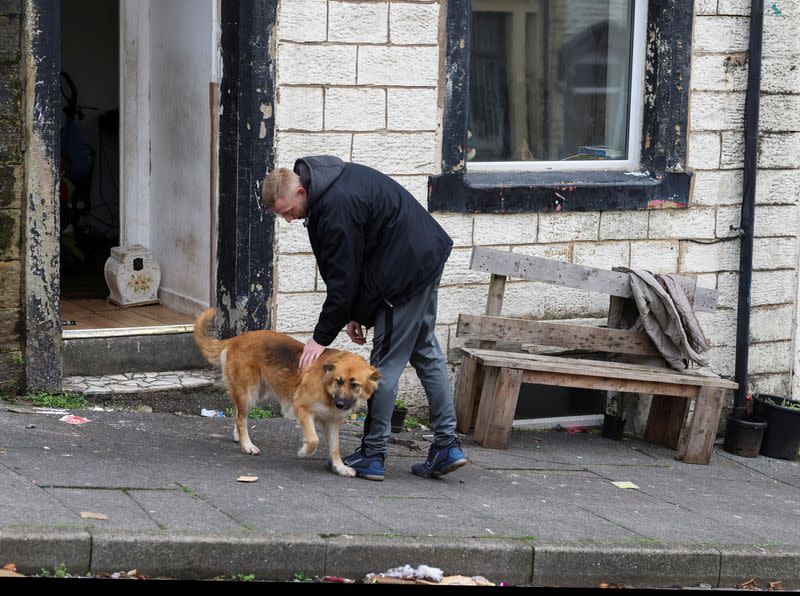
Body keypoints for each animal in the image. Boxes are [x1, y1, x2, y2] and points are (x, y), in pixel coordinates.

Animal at [194, 310, 382, 478]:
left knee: (238, 413)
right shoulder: (302, 409)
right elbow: (313, 439)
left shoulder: (332, 422)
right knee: (241, 418)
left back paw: (238, 437)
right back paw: (246, 444)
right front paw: (304, 451)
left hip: (255, 393)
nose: (341, 405)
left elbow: (335, 448)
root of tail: (236, 339)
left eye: (355, 385)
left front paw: (340, 467)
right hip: (249, 392)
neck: (327, 388)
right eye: (339, 381)